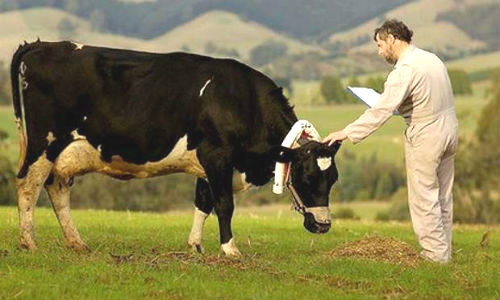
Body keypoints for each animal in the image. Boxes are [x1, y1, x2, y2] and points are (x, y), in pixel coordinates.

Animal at [9, 39, 342, 255]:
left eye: (332, 179)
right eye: (306, 177)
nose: (324, 226)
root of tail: (41, 45)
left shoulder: (206, 164)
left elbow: (203, 203)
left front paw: (195, 246)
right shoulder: (218, 157)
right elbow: (224, 204)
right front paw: (230, 250)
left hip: (63, 153)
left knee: (56, 189)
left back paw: (76, 243)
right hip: (43, 143)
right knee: (28, 186)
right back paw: (29, 242)